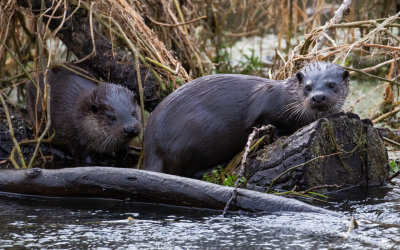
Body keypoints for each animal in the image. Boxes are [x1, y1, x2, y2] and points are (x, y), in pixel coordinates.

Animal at [142, 61, 348, 177]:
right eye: (308, 87)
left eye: (331, 85)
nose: (318, 97)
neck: (286, 98)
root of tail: (151, 147)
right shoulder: (267, 104)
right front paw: (278, 135)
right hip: (193, 134)